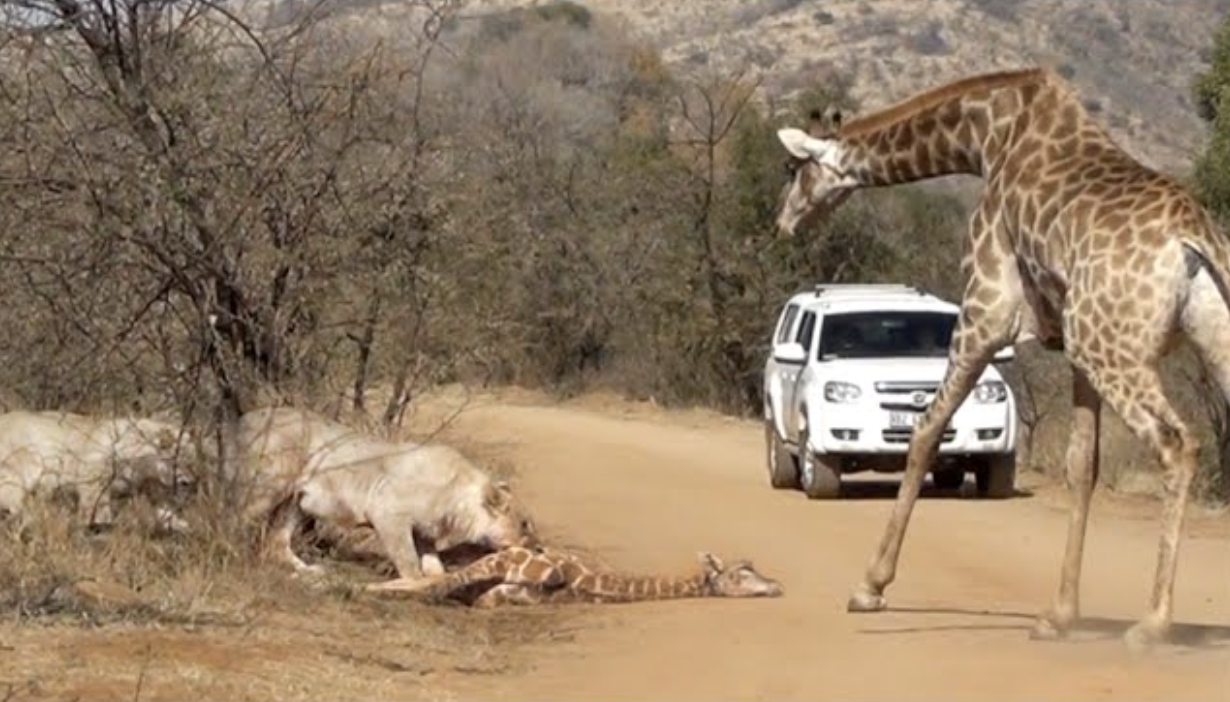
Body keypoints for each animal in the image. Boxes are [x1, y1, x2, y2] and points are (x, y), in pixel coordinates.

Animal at [772, 67, 1230, 649]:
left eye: (792, 169)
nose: (782, 221)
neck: (985, 136)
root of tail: (1194, 241)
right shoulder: (1070, 344)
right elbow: (1083, 465)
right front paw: (1059, 614)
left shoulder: (986, 309)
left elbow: (926, 430)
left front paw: (870, 586)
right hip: (1184, 340)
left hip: (1113, 347)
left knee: (1177, 443)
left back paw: (1152, 624)